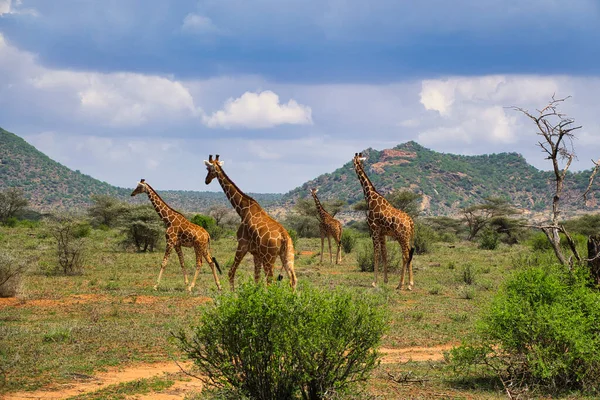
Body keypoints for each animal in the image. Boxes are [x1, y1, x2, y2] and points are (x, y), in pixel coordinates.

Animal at [204, 154, 298, 290]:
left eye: (208, 169)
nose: (206, 180)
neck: (242, 209)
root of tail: (284, 237)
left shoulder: (242, 244)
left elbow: (231, 272)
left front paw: (232, 294)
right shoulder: (256, 254)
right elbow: (256, 278)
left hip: (269, 257)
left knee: (271, 280)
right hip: (288, 254)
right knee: (292, 278)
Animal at [350, 154, 414, 290]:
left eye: (353, 160)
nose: (354, 165)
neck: (370, 197)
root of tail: (411, 221)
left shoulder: (374, 230)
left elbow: (376, 254)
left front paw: (374, 282)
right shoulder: (382, 233)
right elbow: (384, 254)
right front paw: (385, 280)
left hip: (401, 236)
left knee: (405, 255)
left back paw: (401, 284)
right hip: (408, 237)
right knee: (410, 253)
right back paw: (410, 283)